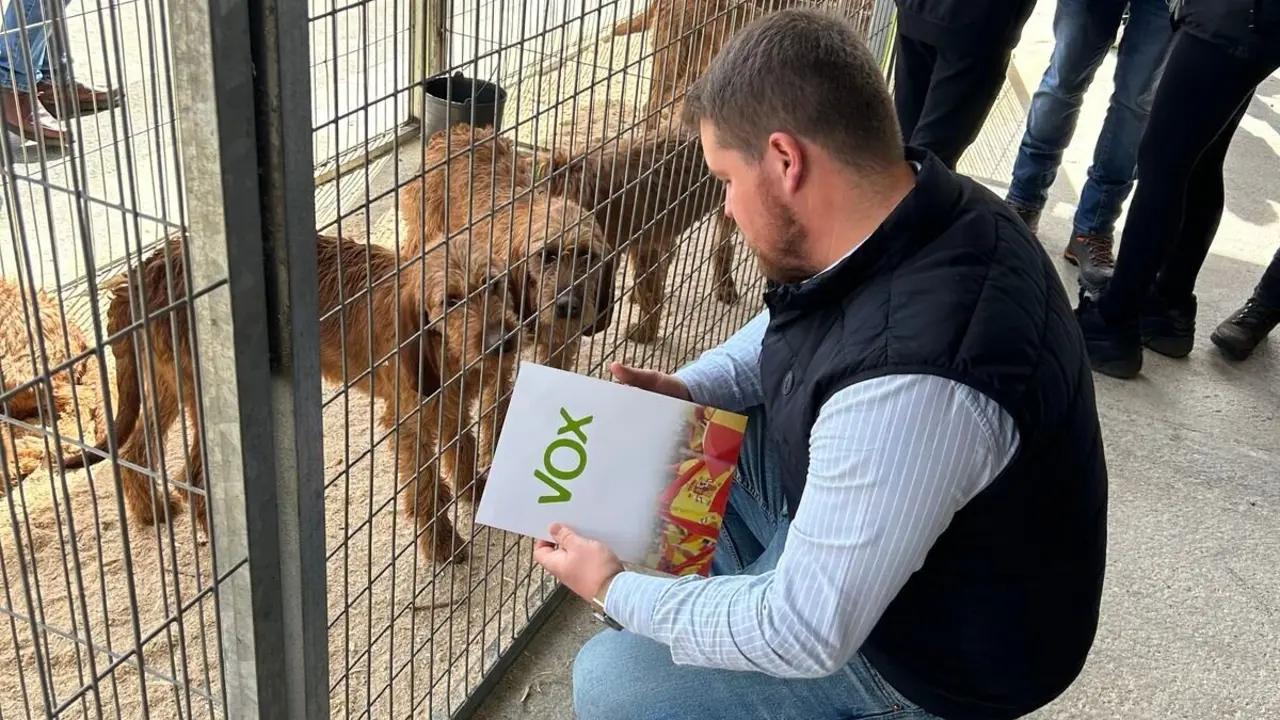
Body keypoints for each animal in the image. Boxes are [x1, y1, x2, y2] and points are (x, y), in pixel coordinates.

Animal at [85, 229, 519, 561]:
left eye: (493, 283)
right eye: (451, 301)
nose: (503, 341)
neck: (441, 347)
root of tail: (141, 275)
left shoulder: (451, 406)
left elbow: (463, 450)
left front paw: (478, 492)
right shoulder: (408, 422)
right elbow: (427, 489)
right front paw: (444, 544)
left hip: (168, 386)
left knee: (135, 451)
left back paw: (151, 510)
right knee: (190, 474)